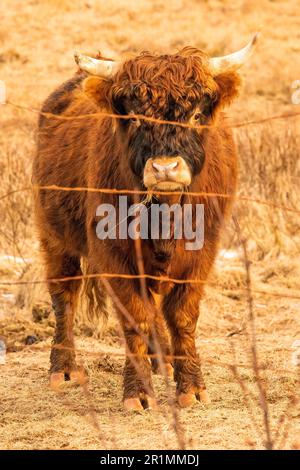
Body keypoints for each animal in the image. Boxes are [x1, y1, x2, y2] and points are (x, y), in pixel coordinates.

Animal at [32, 34, 258, 408]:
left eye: (196, 115)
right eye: (135, 118)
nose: (165, 168)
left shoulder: (203, 252)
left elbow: (181, 315)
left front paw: (191, 387)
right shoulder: (114, 254)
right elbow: (134, 315)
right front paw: (137, 393)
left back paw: (162, 361)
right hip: (53, 235)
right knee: (64, 292)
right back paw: (62, 370)